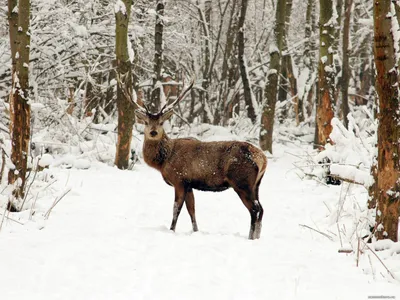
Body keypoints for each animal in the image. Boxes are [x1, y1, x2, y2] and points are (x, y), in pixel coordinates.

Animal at [120, 77, 268, 239]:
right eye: (146, 122)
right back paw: (257, 237)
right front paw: (196, 231)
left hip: (241, 181)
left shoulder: (179, 180)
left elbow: (176, 209)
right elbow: (192, 210)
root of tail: (263, 159)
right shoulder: (189, 184)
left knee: (254, 209)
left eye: (161, 122)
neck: (164, 161)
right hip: (256, 184)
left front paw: (171, 230)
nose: (153, 132)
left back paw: (251, 237)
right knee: (261, 209)